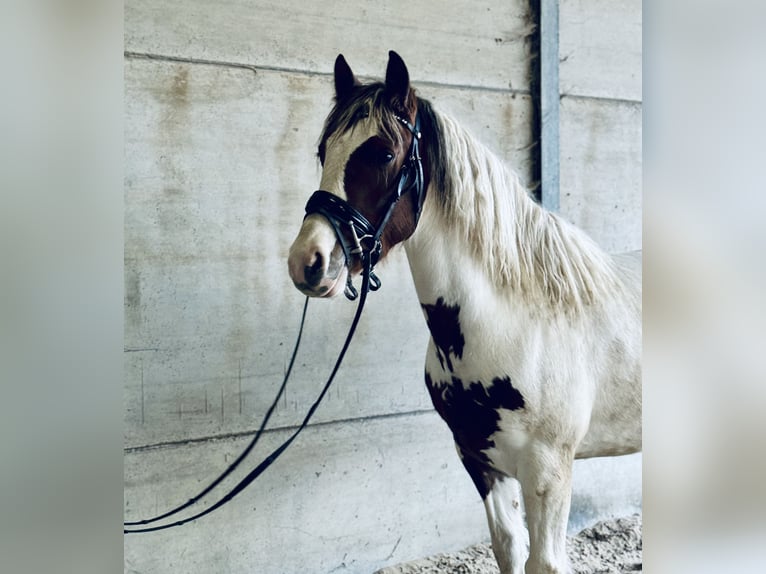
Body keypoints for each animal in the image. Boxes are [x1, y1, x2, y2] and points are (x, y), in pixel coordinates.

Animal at [288, 50, 640, 574]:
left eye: (384, 154)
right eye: (322, 151)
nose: (308, 261)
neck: (517, 323)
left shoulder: (548, 470)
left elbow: (543, 562)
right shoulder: (480, 460)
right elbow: (508, 547)